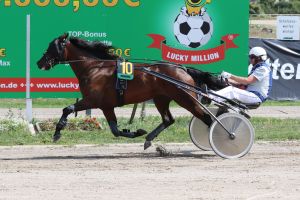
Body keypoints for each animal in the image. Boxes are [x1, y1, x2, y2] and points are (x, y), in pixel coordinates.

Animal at [36, 33, 226, 148]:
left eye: (52, 46)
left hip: (185, 98)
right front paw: (137, 132)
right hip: (161, 98)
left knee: (207, 118)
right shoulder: (106, 106)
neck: (94, 68)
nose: (39, 62)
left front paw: (57, 132)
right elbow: (115, 130)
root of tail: (182, 68)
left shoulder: (93, 100)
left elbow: (67, 108)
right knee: (168, 119)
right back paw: (148, 139)